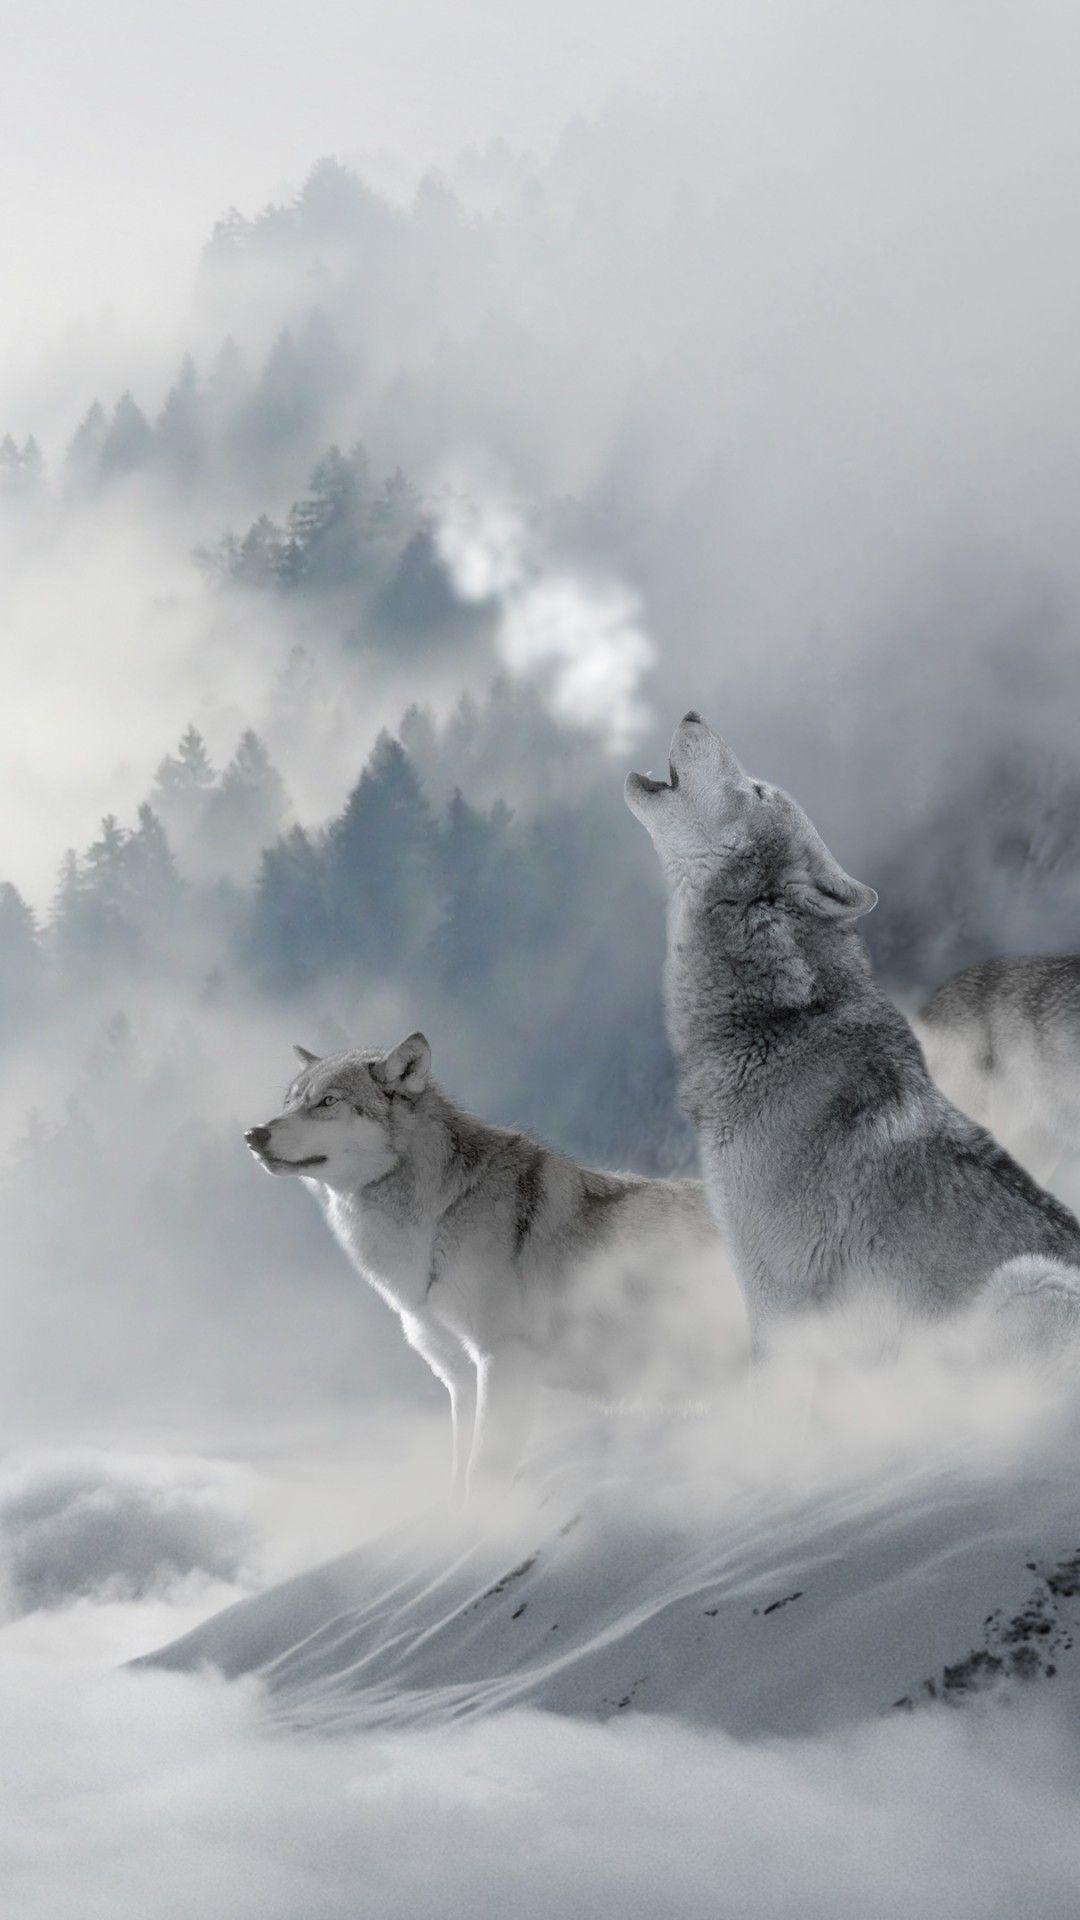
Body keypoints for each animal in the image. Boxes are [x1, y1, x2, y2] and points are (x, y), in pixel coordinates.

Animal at [244, 1034, 734, 1501]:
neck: (438, 1220)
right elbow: (458, 1483)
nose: (254, 1135)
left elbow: (483, 1476)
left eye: (327, 1102)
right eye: (289, 1101)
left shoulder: (503, 1362)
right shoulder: (461, 1382)